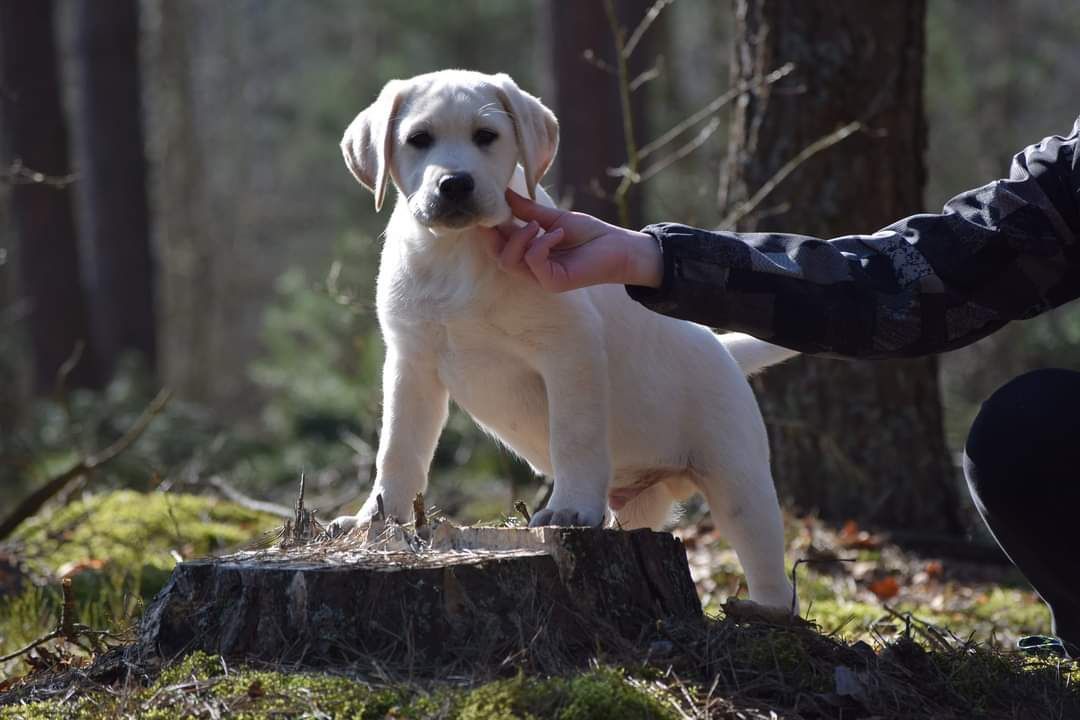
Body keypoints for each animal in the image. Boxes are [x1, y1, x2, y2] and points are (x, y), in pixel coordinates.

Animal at [332, 67, 799, 613]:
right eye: (418, 140)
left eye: (486, 137)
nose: (455, 184)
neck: (456, 254)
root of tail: (724, 348)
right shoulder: (411, 365)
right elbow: (397, 450)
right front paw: (376, 521)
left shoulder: (568, 349)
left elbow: (573, 435)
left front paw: (569, 510)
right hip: (643, 504)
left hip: (739, 480)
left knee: (770, 567)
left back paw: (763, 611)